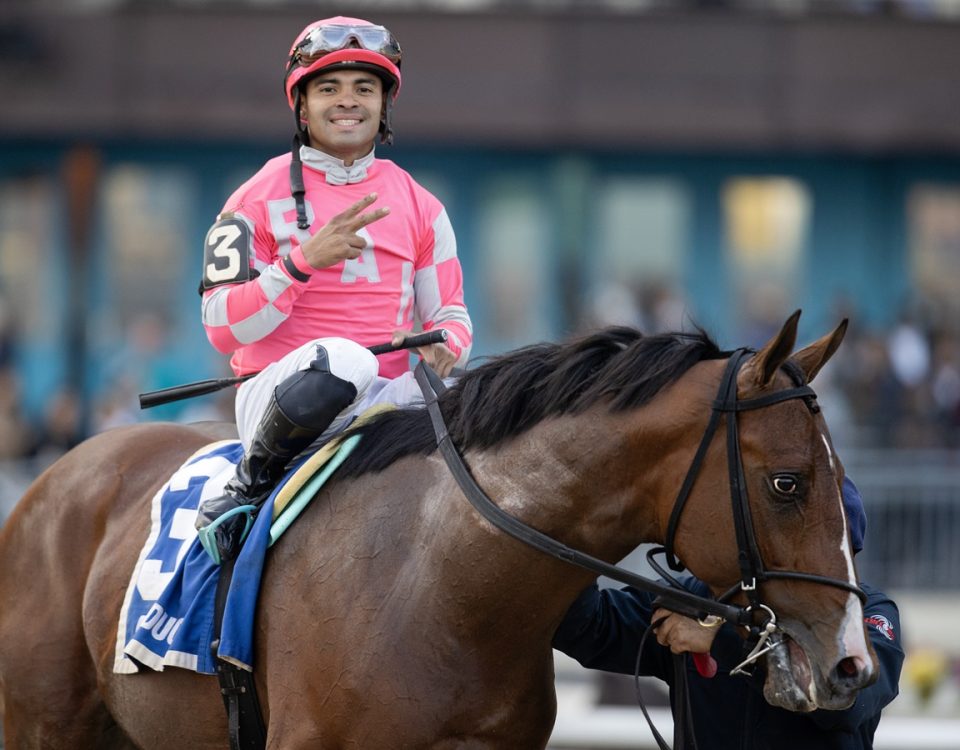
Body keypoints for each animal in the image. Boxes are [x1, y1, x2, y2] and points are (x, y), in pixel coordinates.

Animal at [0, 312, 876, 750]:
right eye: (789, 482)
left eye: (845, 479)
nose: (851, 663)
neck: (439, 586)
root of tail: (58, 473)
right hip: (44, 726)